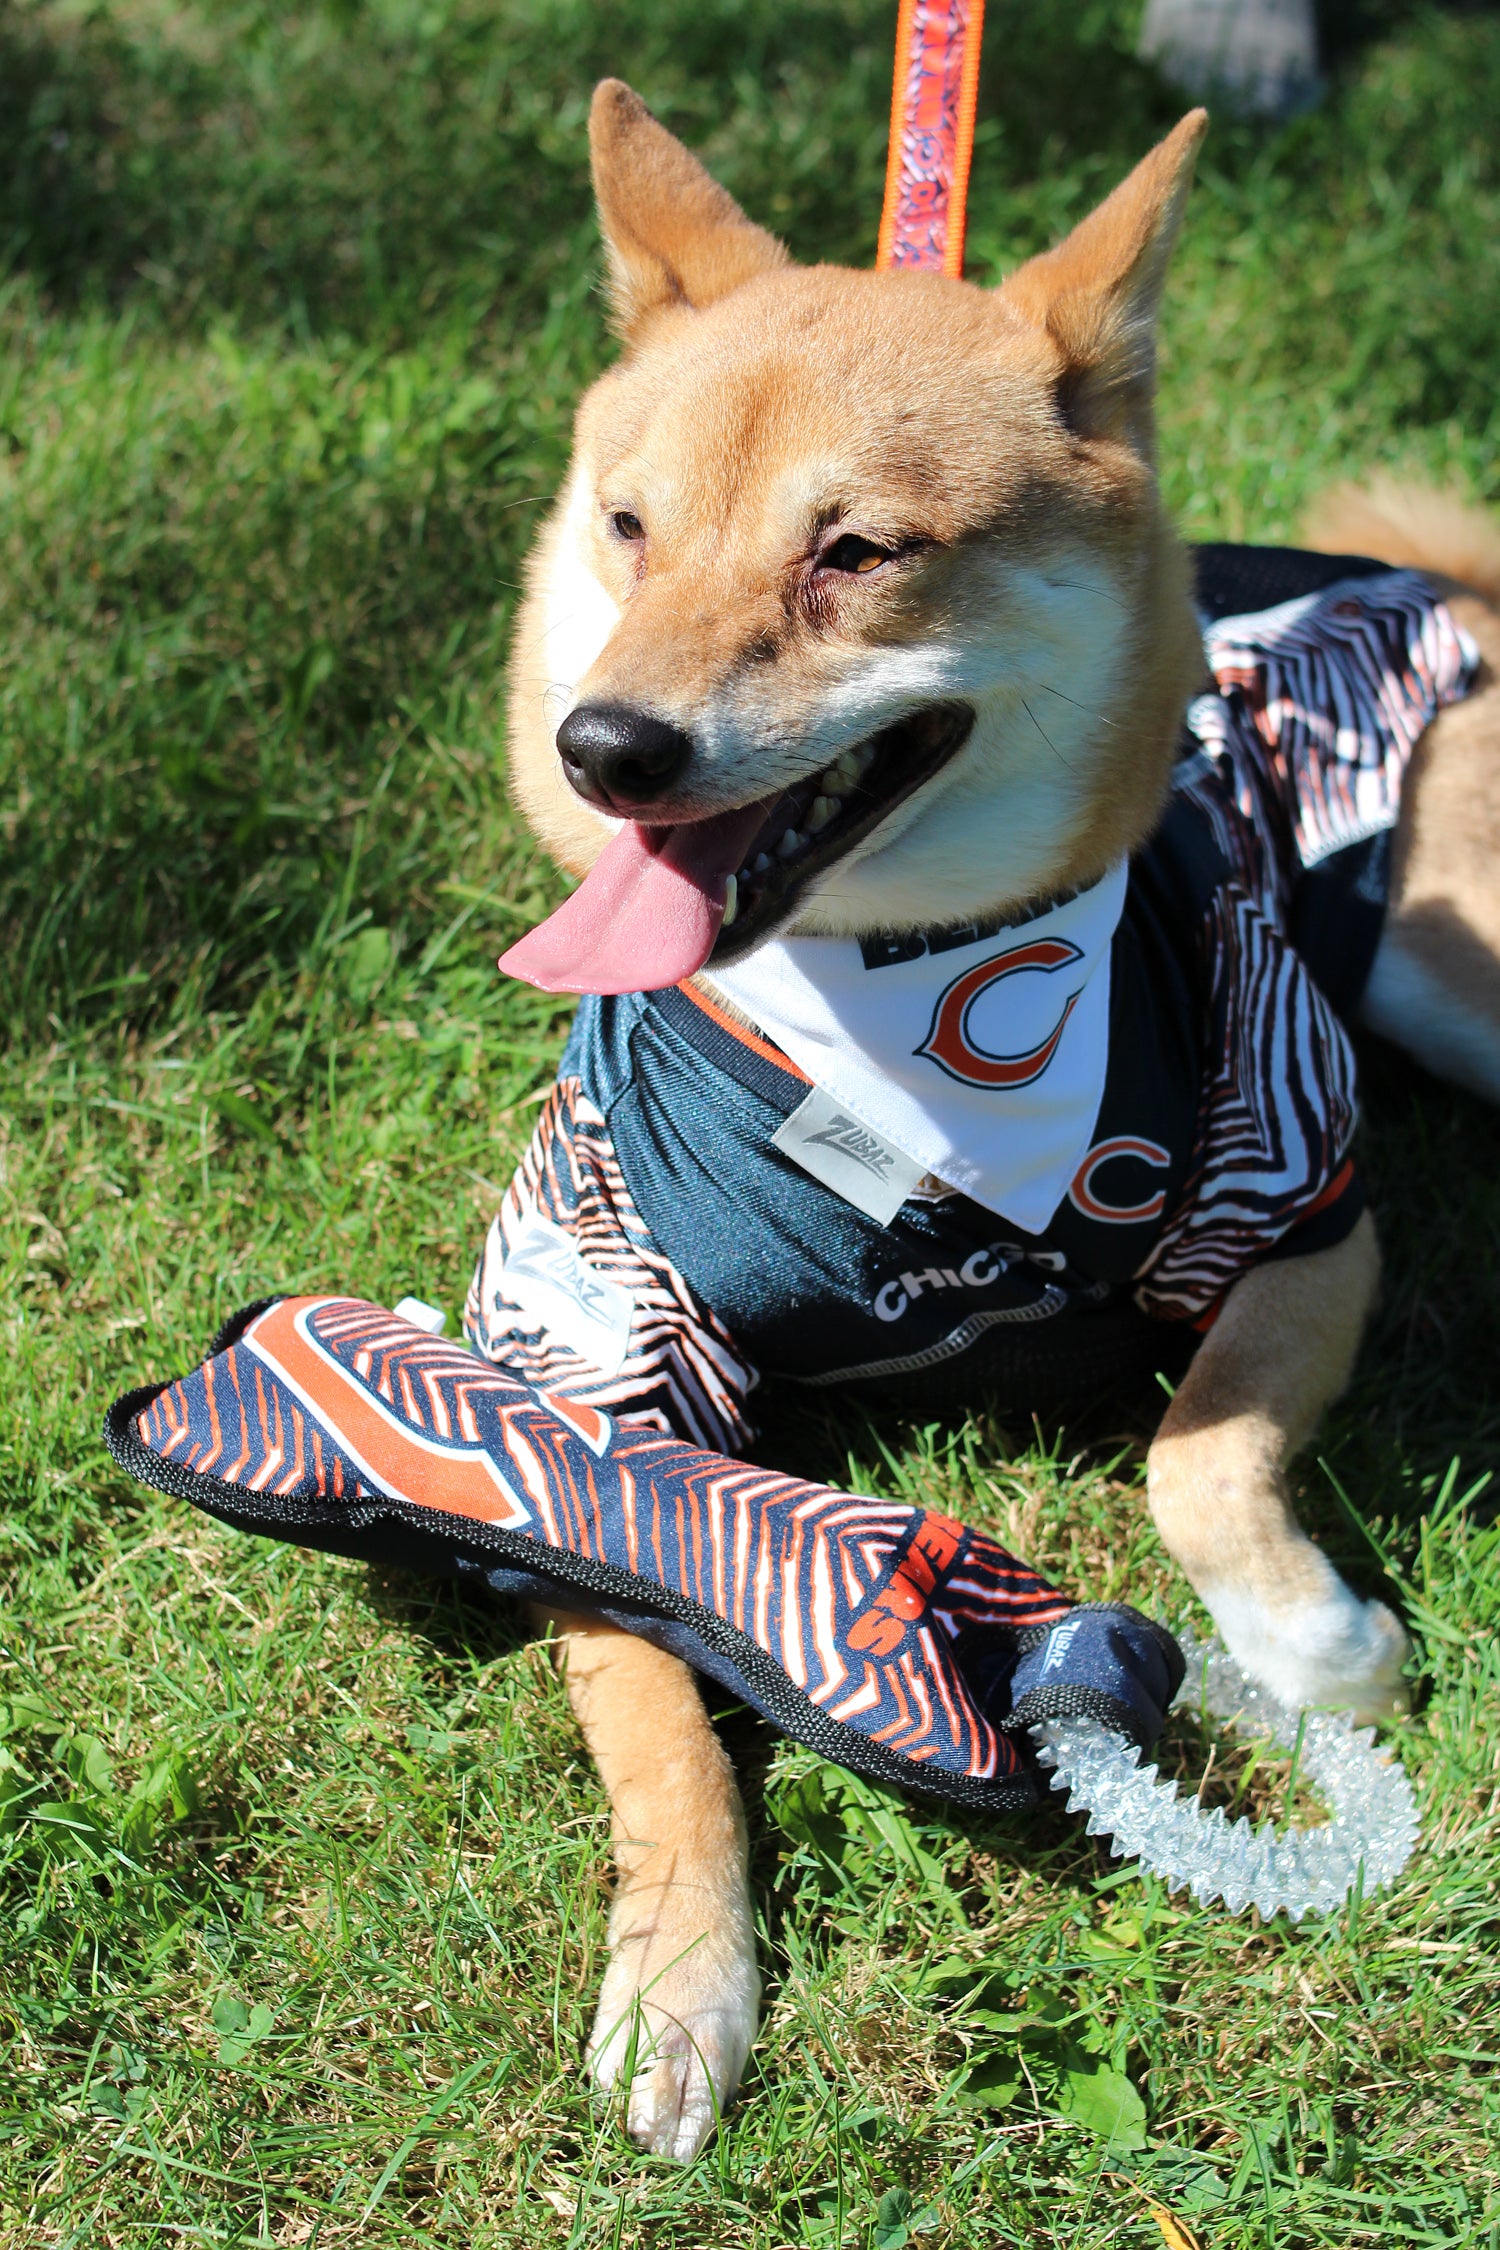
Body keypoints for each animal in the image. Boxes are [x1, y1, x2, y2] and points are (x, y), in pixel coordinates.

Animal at [494, 92, 1500, 2160]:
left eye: (856, 552)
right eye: (630, 527)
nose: (605, 749)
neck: (907, 1021)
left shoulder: (1304, 1198)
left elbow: (1196, 1457)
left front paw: (1314, 1644)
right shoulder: (585, 1352)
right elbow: (651, 1698)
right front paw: (682, 1976)